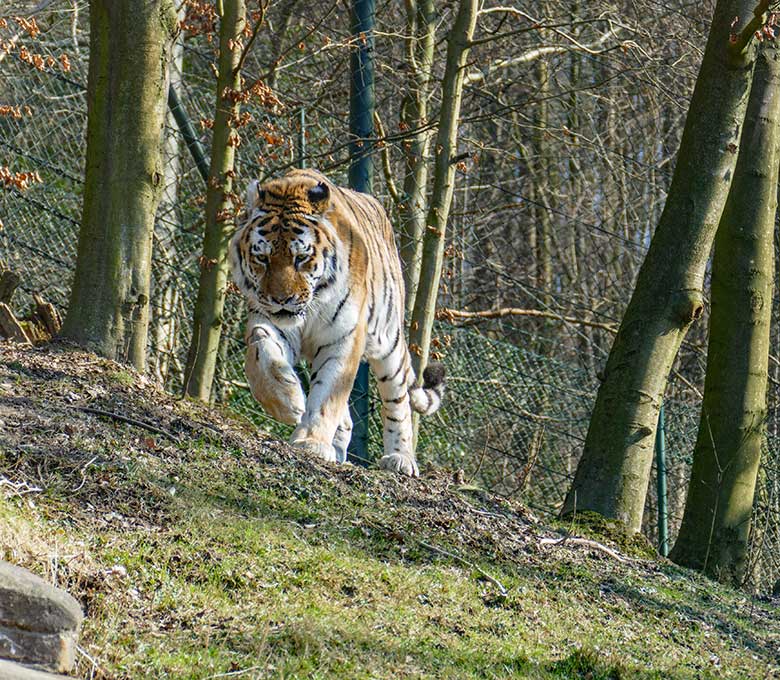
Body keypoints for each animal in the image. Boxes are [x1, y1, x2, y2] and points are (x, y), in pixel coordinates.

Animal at [229, 169, 442, 478]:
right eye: (262, 258)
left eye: (301, 258)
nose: (281, 299)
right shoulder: (267, 319)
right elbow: (261, 355)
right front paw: (288, 399)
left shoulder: (344, 338)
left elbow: (328, 395)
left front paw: (312, 442)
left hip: (389, 342)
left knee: (398, 401)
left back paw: (400, 458)